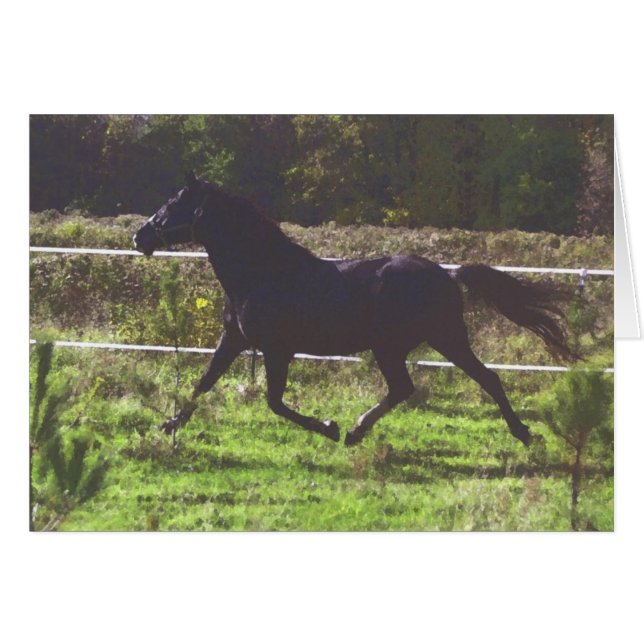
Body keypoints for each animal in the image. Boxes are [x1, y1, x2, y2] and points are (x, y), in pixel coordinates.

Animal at [133, 171, 574, 447]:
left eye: (173, 203)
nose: (139, 236)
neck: (263, 272)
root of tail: (447, 274)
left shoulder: (277, 350)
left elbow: (275, 402)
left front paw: (328, 427)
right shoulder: (236, 339)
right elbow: (203, 382)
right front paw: (170, 424)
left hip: (415, 342)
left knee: (454, 382)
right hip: (423, 342)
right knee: (438, 384)